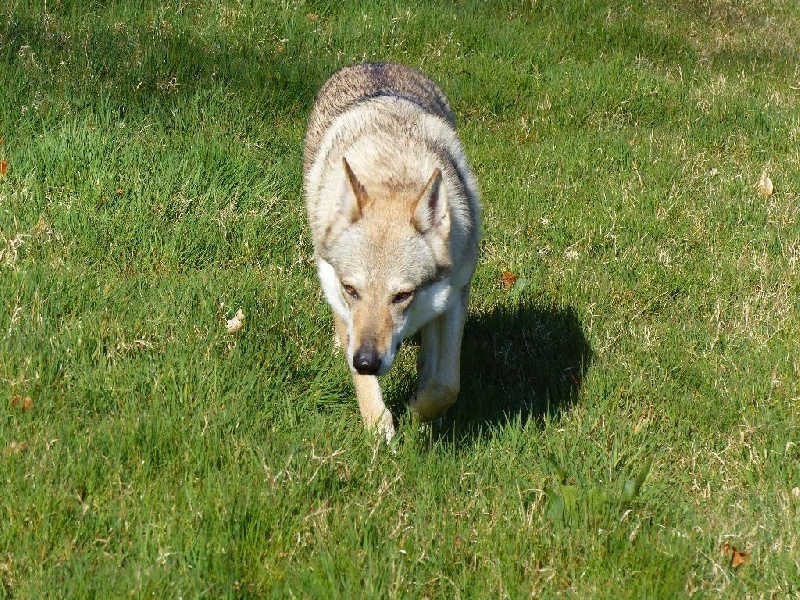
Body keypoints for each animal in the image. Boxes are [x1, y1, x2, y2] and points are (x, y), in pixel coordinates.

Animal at [303, 63, 481, 442]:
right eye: (352, 289)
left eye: (402, 296)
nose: (366, 361)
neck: (392, 174)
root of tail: (375, 63)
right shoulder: (339, 296)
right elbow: (363, 382)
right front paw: (377, 426)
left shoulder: (457, 292)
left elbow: (448, 383)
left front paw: (420, 410)